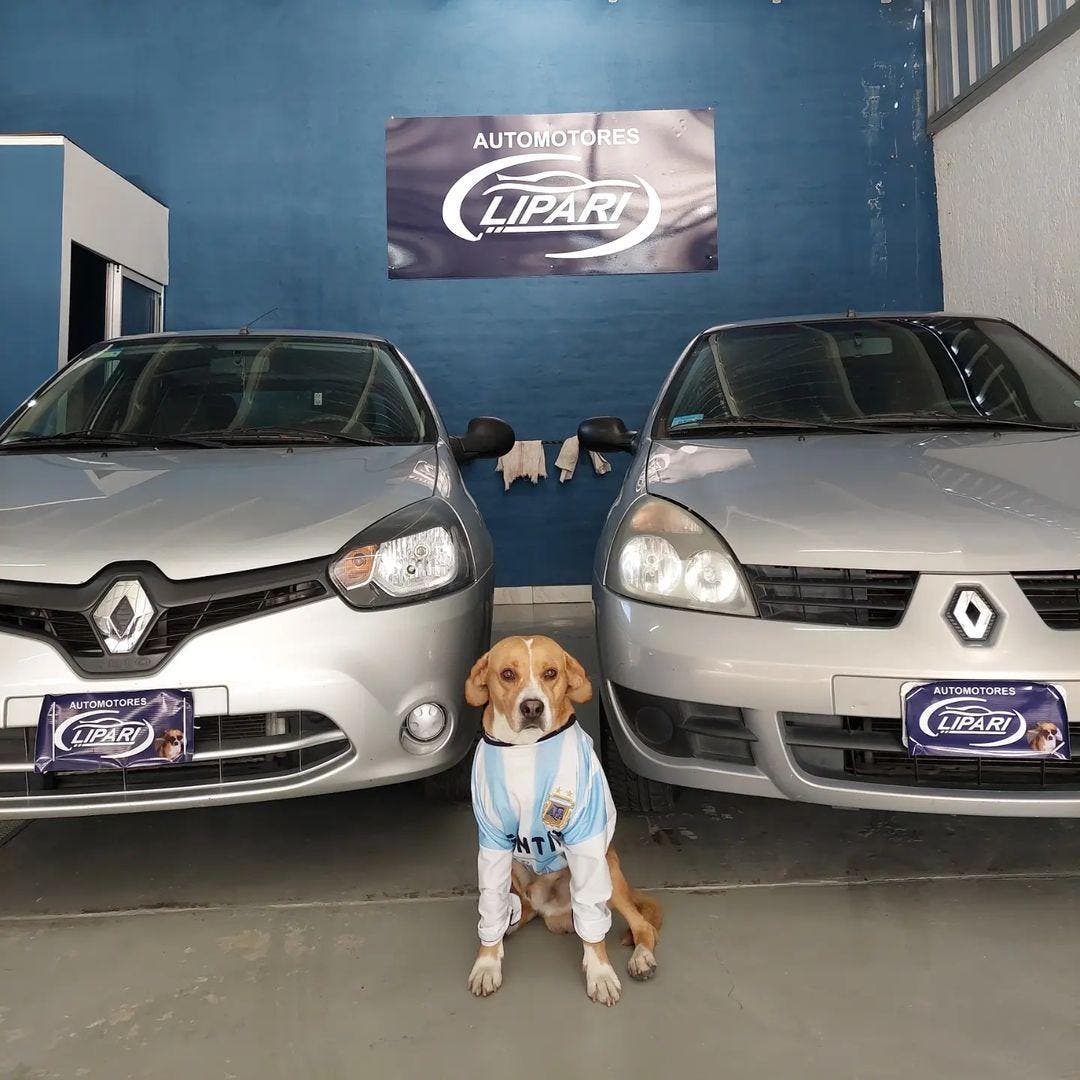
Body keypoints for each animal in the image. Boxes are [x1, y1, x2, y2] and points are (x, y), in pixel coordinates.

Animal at [466, 630, 665, 1002]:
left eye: (550, 673)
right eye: (507, 674)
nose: (532, 707)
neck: (525, 747)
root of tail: (551, 911)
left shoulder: (586, 840)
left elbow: (595, 932)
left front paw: (600, 973)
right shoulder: (492, 845)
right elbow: (490, 908)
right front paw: (487, 962)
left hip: (607, 870)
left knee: (637, 925)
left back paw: (641, 957)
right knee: (518, 907)